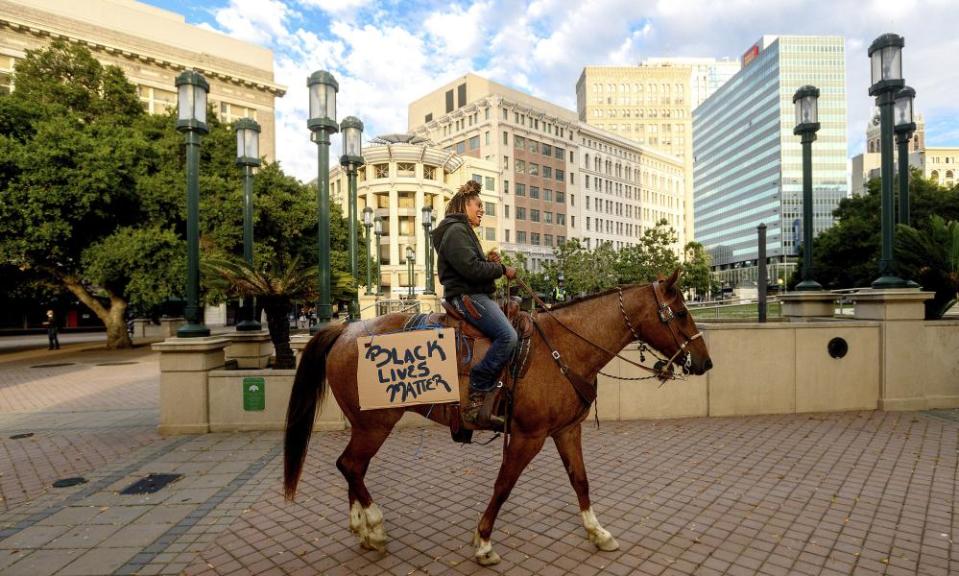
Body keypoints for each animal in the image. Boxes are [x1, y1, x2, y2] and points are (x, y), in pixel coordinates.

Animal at [284, 268, 712, 564]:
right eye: (679, 312)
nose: (705, 362)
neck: (562, 348)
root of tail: (344, 330)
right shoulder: (528, 437)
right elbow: (503, 486)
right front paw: (484, 541)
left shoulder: (566, 431)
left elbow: (580, 481)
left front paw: (597, 531)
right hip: (376, 423)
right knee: (350, 465)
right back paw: (373, 525)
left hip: (365, 424)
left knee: (352, 468)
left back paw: (362, 526)